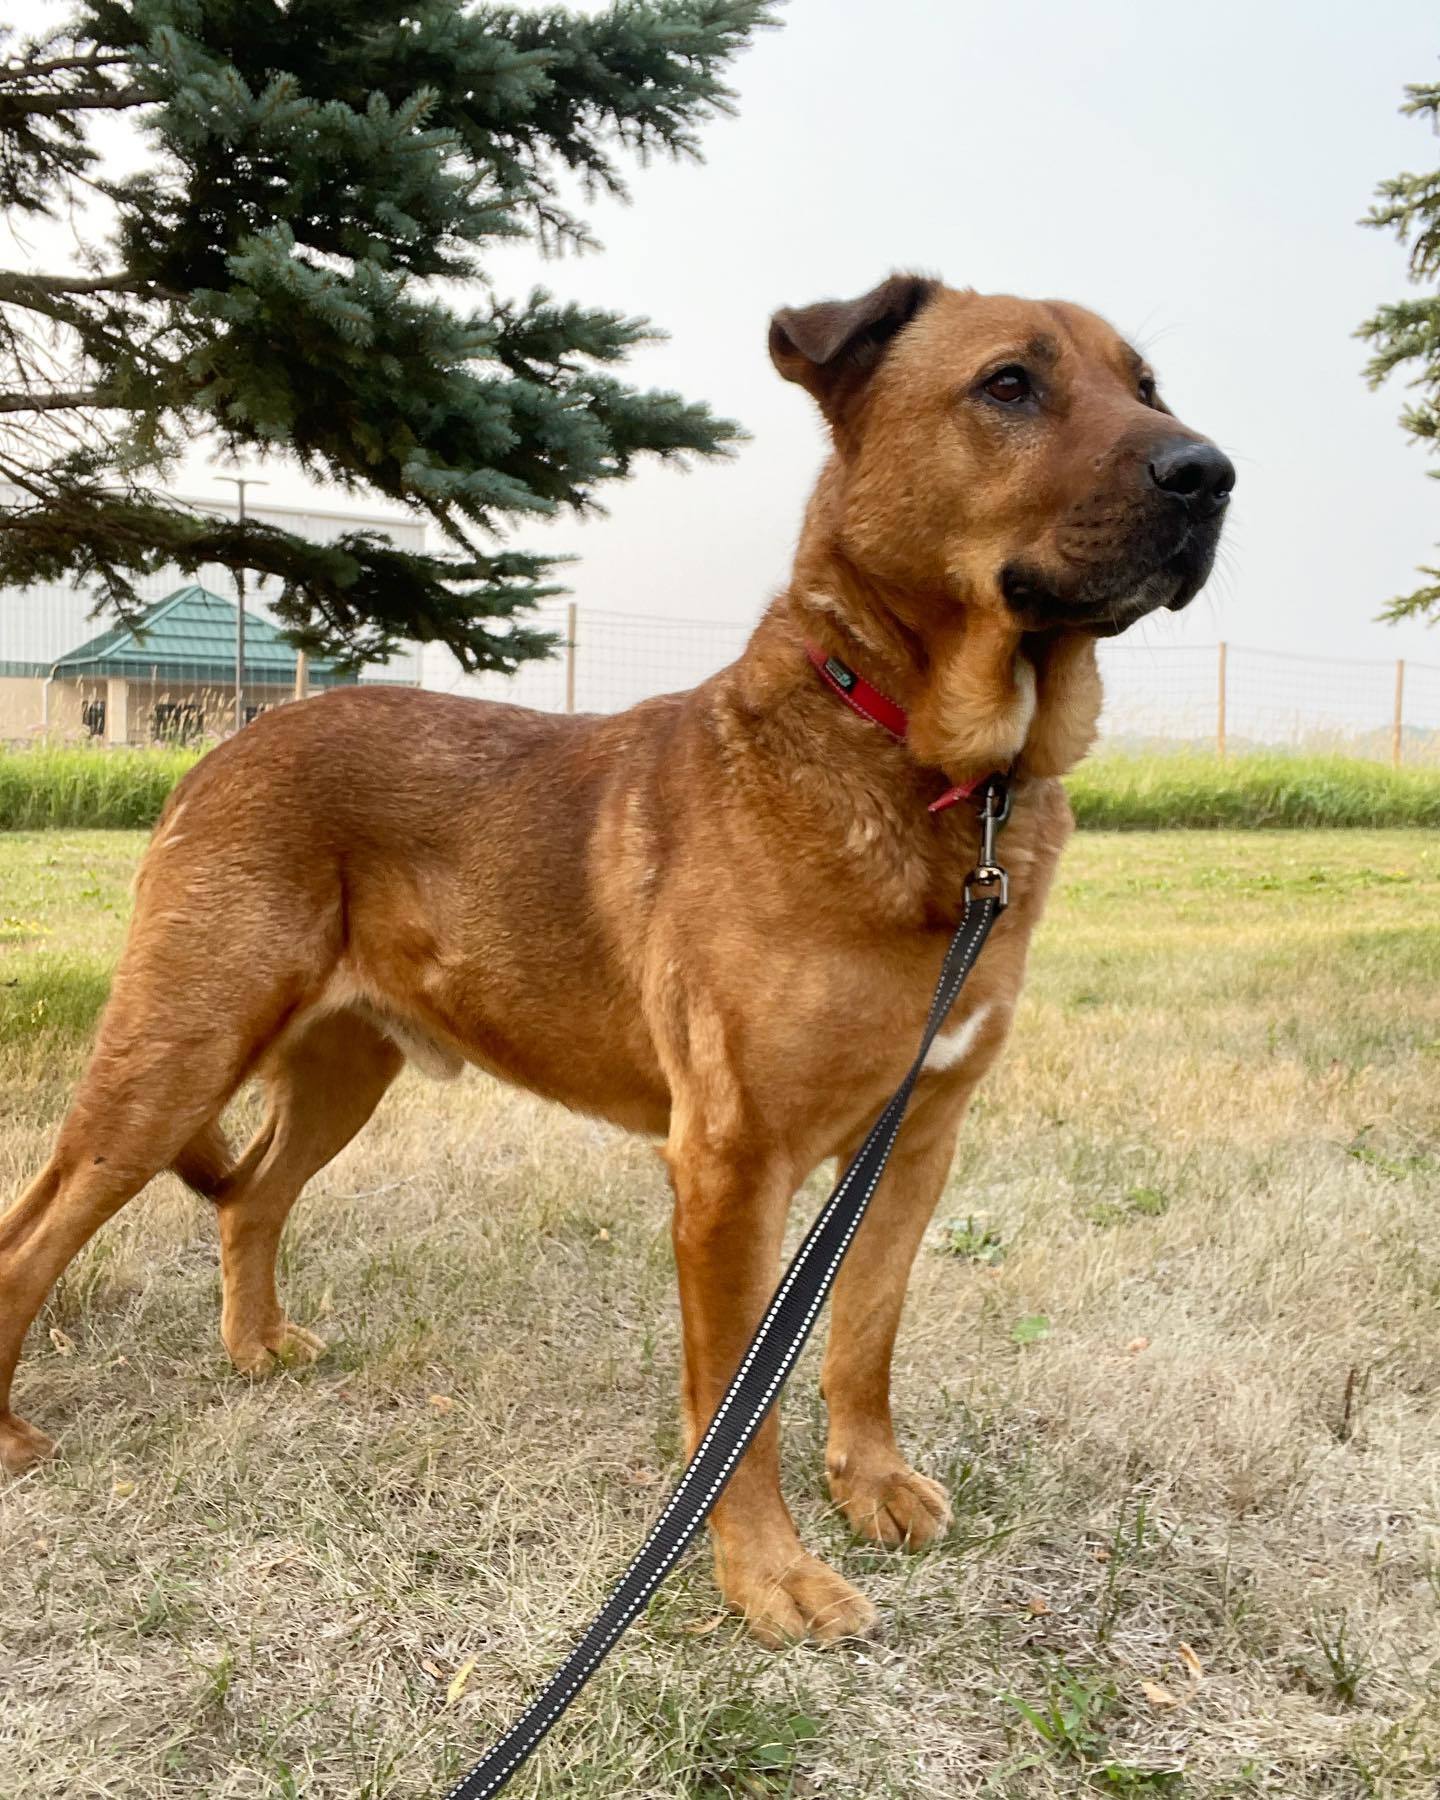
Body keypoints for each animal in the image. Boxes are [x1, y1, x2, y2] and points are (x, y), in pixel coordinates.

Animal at [2, 277, 1238, 1648]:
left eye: (1147, 385)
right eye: (1009, 384)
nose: (1211, 475)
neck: (925, 772)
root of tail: (228, 741)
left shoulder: (914, 1144)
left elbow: (864, 1336)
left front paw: (866, 1484)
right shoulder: (732, 1169)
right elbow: (741, 1409)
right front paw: (769, 1576)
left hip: (341, 1072)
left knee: (255, 1200)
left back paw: (253, 1348)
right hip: (174, 1059)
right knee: (31, 1234)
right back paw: (12, 1431)